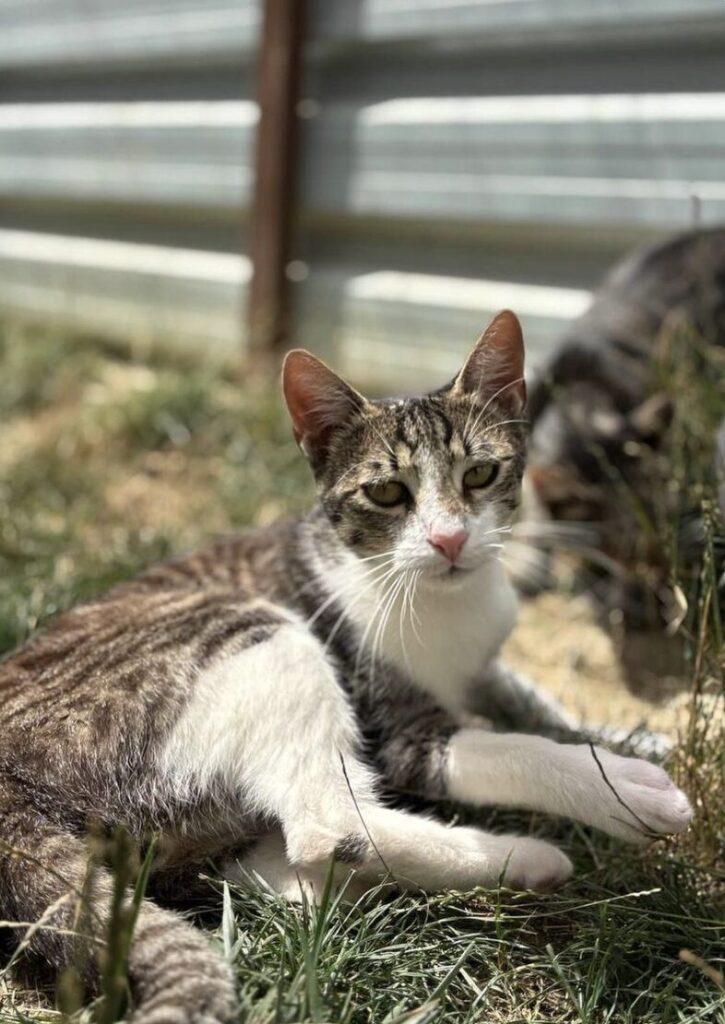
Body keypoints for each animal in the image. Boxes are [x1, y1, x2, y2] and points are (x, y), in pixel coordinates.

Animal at [0, 309, 692, 1024]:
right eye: (387, 493)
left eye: (479, 475)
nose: (450, 539)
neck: (448, 602)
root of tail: (11, 785)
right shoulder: (402, 732)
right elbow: (518, 748)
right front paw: (620, 785)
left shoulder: (486, 666)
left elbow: (534, 702)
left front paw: (637, 737)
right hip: (252, 630)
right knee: (326, 823)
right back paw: (523, 859)